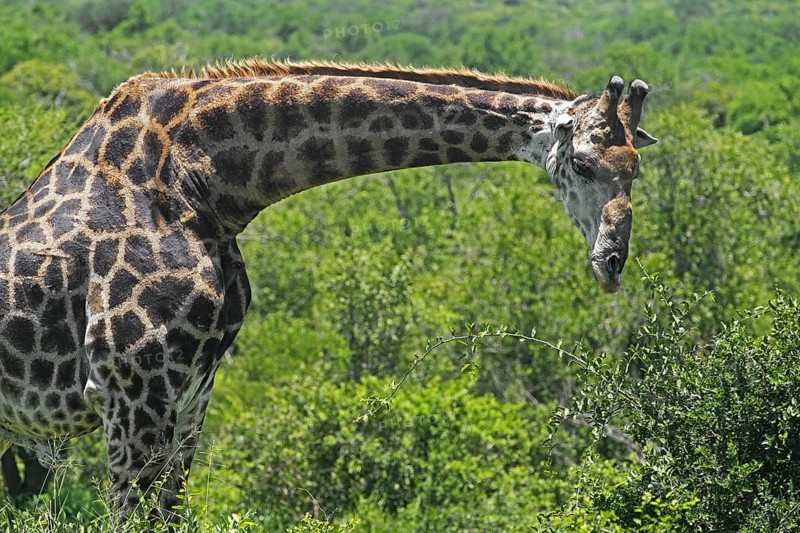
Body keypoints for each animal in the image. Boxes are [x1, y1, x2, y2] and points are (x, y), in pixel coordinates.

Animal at [0, 59, 656, 519]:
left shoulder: (189, 395)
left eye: (634, 171)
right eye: (582, 164)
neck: (205, 184)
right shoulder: (132, 393)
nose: (611, 262)